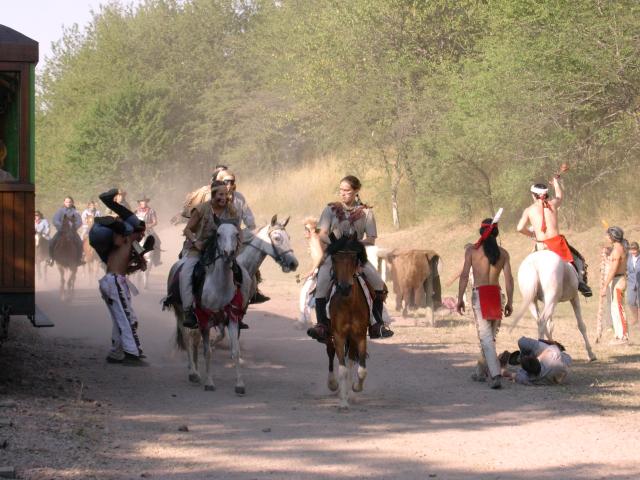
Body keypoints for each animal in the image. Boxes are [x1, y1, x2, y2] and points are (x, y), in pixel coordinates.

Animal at [324, 234, 370, 410]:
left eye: (353, 258)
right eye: (334, 259)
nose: (344, 288)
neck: (349, 304)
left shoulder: (360, 335)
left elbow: (361, 370)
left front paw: (355, 388)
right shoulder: (338, 335)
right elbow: (342, 369)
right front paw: (342, 402)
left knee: (350, 361)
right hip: (329, 334)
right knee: (331, 354)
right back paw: (333, 385)